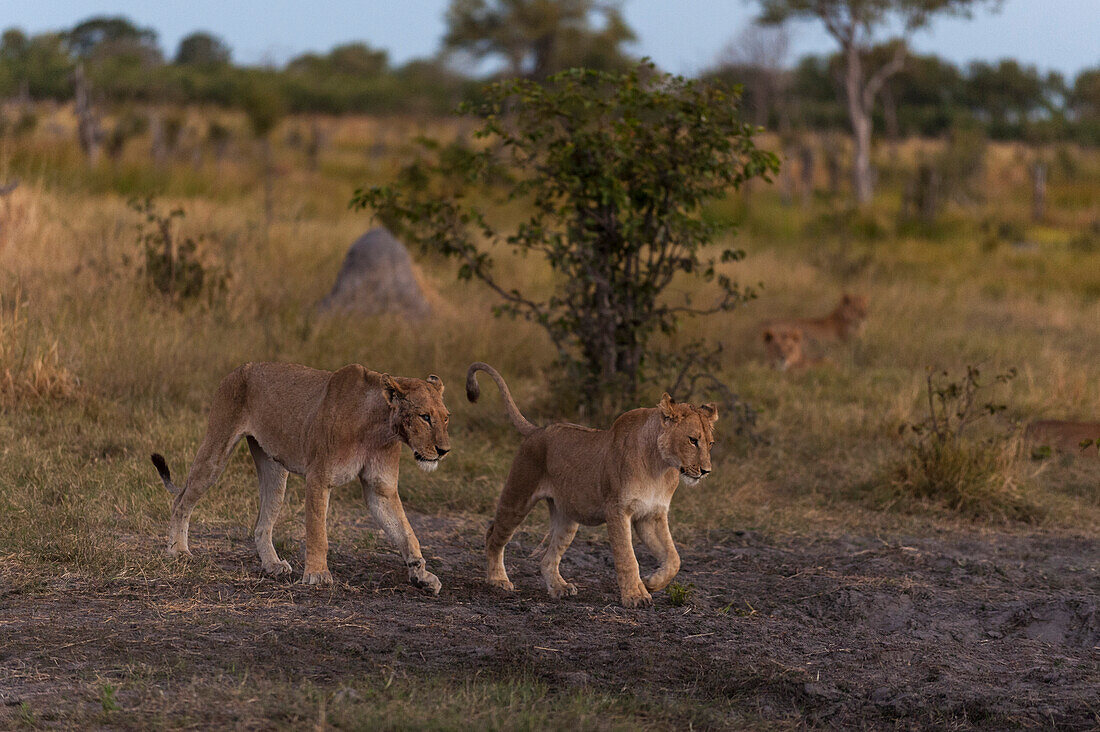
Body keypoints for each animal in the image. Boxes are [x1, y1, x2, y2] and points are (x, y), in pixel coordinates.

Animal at [150, 361, 451, 594]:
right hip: (216, 449)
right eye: (425, 417)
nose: (444, 451)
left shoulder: (381, 488)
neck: (378, 428)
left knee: (261, 525)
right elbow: (318, 532)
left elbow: (406, 533)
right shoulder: (318, 478)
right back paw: (178, 551)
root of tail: (238, 369)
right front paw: (318, 574)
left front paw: (421, 575)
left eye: (446, 418)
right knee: (181, 500)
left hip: (274, 471)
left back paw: (273, 566)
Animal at [466, 358, 717, 603]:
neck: (660, 468)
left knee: (547, 558)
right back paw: (498, 580)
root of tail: (537, 430)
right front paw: (635, 595)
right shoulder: (617, 510)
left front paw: (651, 583)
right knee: (493, 535)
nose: (706, 471)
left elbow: (674, 558)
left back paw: (559, 588)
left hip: (567, 518)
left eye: (710, 443)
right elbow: (627, 557)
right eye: (692, 440)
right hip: (518, 497)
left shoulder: (651, 515)